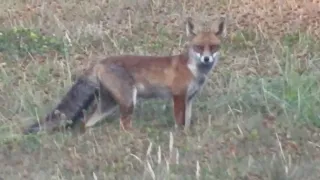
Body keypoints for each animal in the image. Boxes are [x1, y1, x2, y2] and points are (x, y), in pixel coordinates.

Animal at [23, 16, 226, 134]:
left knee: (86, 123)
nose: (207, 59)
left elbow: (187, 122)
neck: (194, 70)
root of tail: (100, 62)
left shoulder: (189, 99)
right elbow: (179, 122)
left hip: (109, 104)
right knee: (123, 126)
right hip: (129, 102)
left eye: (213, 47)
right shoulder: (178, 96)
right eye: (198, 47)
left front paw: (187, 136)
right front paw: (179, 138)